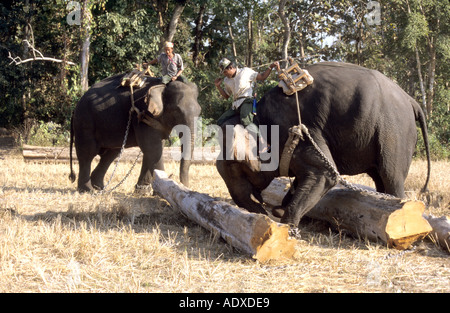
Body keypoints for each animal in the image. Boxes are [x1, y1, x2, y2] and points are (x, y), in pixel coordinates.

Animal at [68, 73, 200, 190]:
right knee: (87, 153)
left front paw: (143, 190)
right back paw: (87, 190)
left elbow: (154, 148)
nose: (184, 185)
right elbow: (152, 148)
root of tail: (75, 107)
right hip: (85, 122)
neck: (163, 86)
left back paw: (99, 188)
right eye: (176, 111)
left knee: (111, 153)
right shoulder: (142, 114)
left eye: (199, 112)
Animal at [216, 61, 430, 227]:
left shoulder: (295, 131)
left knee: (391, 176)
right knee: (379, 178)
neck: (259, 118)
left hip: (394, 132)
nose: (262, 212)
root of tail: (412, 101)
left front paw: (286, 225)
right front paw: (279, 211)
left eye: (235, 168)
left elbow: (325, 174)